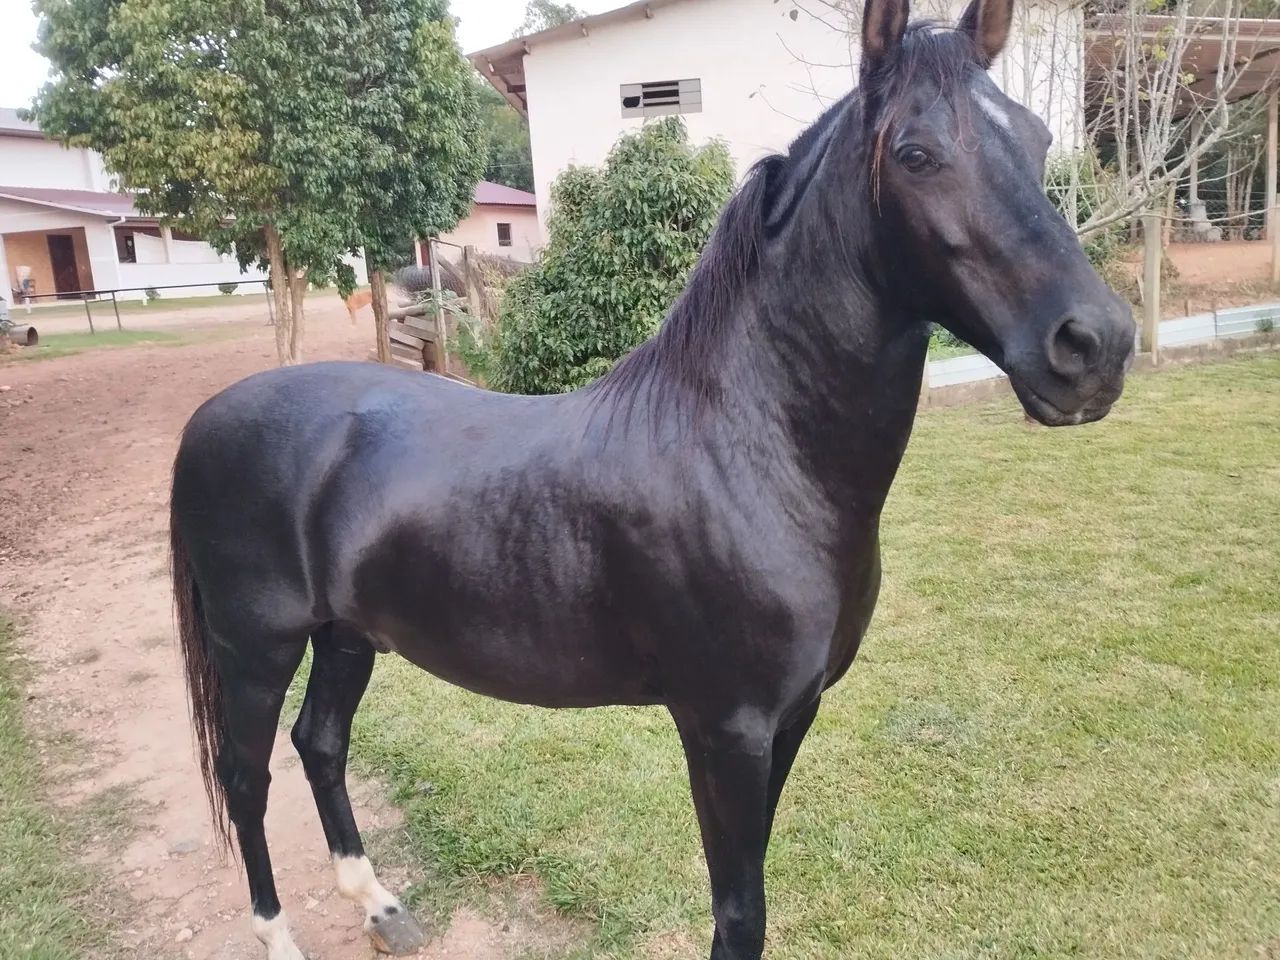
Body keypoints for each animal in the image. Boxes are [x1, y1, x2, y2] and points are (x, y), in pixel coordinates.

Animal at [169, 0, 1135, 956]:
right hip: (258, 649)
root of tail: (207, 418)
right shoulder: (725, 730)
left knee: (320, 744)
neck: (752, 453)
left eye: (1039, 139)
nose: (1095, 344)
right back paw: (278, 934)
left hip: (346, 636)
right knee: (247, 777)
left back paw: (379, 906)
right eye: (916, 154)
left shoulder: (791, 718)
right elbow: (739, 913)